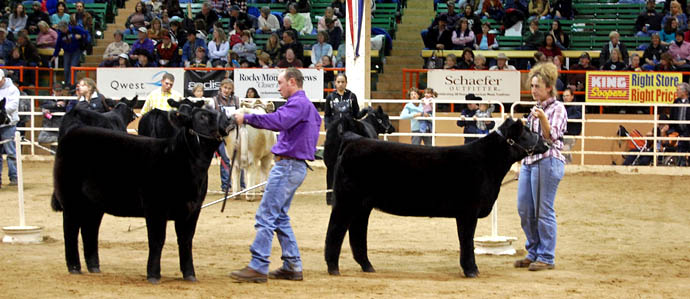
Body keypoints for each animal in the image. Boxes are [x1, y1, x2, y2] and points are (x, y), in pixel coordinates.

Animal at [51, 106, 234, 284]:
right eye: (202, 116)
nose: (228, 119)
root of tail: (73, 133)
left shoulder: (193, 209)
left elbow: (186, 241)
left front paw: (189, 275)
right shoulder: (155, 207)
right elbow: (157, 240)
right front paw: (153, 275)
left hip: (94, 204)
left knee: (89, 229)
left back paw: (94, 266)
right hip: (70, 198)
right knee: (71, 230)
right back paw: (74, 267)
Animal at [326, 118, 548, 278]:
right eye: (527, 132)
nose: (546, 142)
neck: (488, 163)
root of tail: (353, 139)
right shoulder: (468, 211)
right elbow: (467, 241)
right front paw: (471, 270)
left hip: (363, 205)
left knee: (357, 232)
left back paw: (367, 266)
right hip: (346, 201)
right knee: (336, 229)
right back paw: (333, 268)